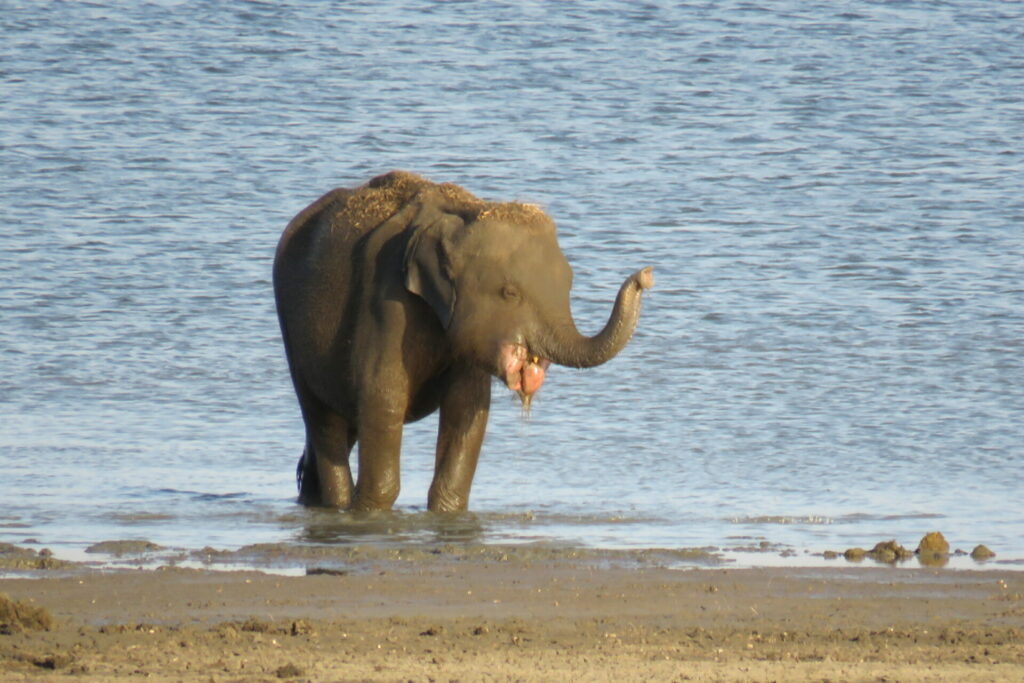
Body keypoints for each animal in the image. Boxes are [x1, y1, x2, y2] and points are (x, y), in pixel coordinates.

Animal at [272, 172, 655, 511]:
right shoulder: (384, 298)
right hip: (290, 325)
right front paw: (371, 511)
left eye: (570, 283)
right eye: (510, 292)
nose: (646, 275)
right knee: (323, 420)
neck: (463, 214)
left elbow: (468, 406)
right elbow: (383, 395)